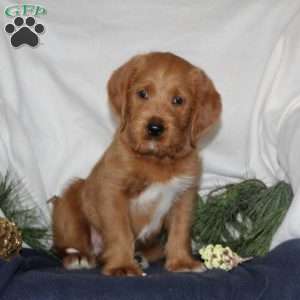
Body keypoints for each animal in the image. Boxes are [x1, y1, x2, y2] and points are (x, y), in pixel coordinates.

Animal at [51, 50, 221, 276]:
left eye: (178, 100)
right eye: (142, 94)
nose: (155, 128)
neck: (156, 160)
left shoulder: (185, 195)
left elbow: (180, 230)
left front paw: (181, 262)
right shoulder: (112, 190)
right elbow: (120, 231)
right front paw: (122, 265)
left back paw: (139, 257)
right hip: (69, 200)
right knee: (64, 245)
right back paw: (78, 257)